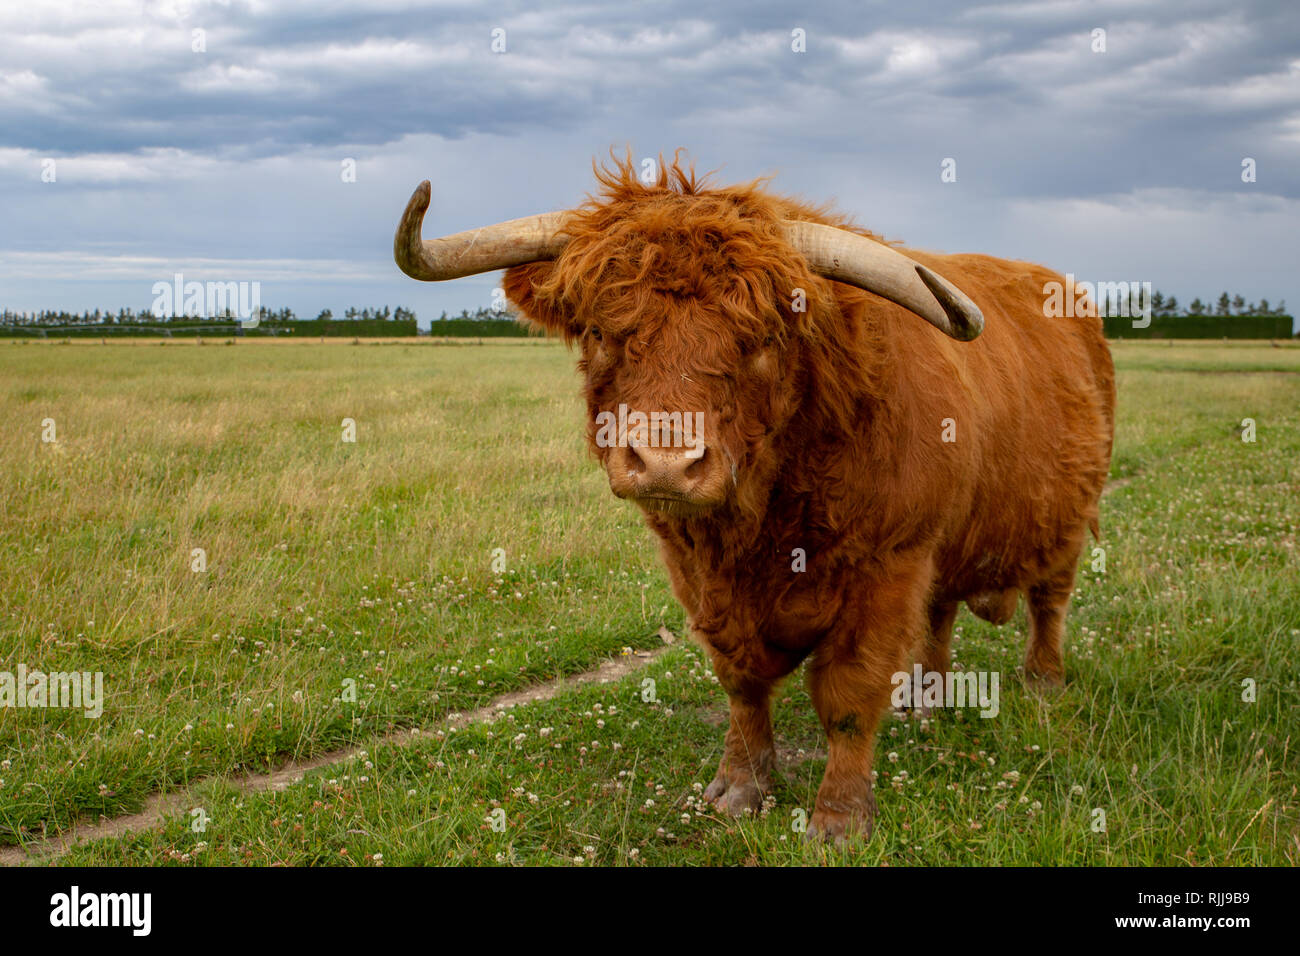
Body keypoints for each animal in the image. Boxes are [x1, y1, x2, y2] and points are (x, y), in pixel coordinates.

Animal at [394, 155, 1116, 842]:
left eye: (763, 338)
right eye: (599, 331)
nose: (665, 464)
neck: (767, 522)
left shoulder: (889, 563)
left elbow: (850, 695)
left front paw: (840, 818)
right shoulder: (701, 576)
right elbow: (740, 680)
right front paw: (739, 786)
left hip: (1068, 516)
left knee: (1049, 600)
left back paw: (1042, 683)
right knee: (941, 613)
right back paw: (925, 700)